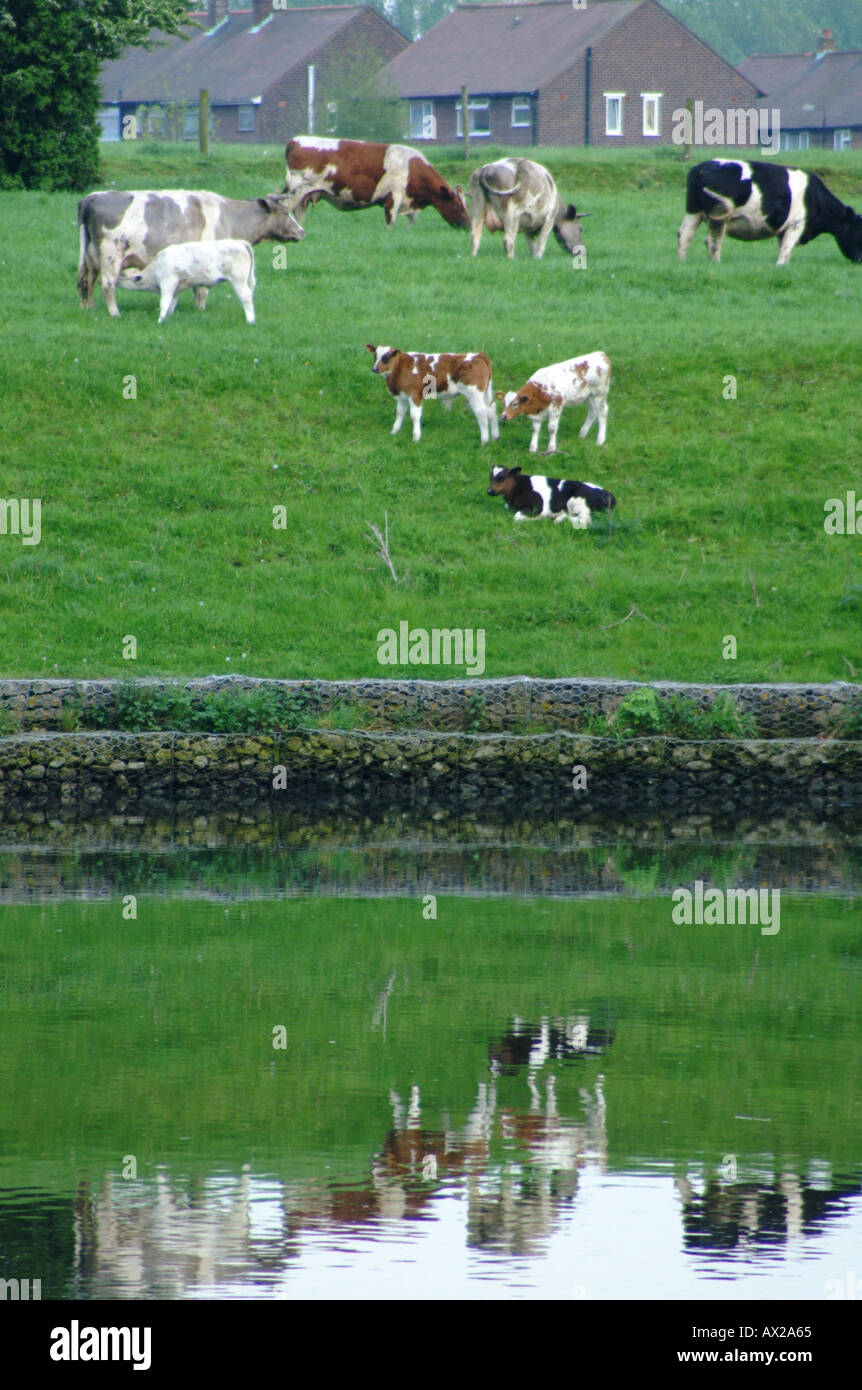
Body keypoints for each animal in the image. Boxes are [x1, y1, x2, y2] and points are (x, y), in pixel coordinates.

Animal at [282, 135, 467, 227]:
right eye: (458, 205)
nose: (467, 225)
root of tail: (296, 140)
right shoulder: (394, 196)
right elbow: (390, 222)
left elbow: (411, 222)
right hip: (296, 192)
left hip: (305, 197)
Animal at [364, 343, 497, 442]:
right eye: (375, 356)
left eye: (386, 357)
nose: (374, 369)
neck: (400, 368)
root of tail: (477, 355)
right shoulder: (402, 397)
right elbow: (399, 413)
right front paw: (394, 431)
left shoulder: (415, 394)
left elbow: (414, 415)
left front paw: (416, 437)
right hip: (485, 392)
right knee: (491, 409)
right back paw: (495, 437)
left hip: (474, 393)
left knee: (482, 413)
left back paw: (484, 440)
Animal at [489, 467, 617, 530]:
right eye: (490, 477)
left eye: (501, 477)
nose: (489, 491)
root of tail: (610, 494)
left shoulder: (537, 506)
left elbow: (516, 517)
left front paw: (540, 519)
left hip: (577, 503)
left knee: (585, 520)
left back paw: (558, 518)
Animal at [681, 159, 862, 266]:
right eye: (858, 232)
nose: (859, 261)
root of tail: (702, 167)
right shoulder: (797, 224)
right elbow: (786, 248)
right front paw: (781, 266)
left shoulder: (784, 230)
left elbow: (784, 248)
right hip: (719, 215)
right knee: (713, 241)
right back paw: (716, 264)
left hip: (694, 211)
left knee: (684, 234)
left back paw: (681, 260)